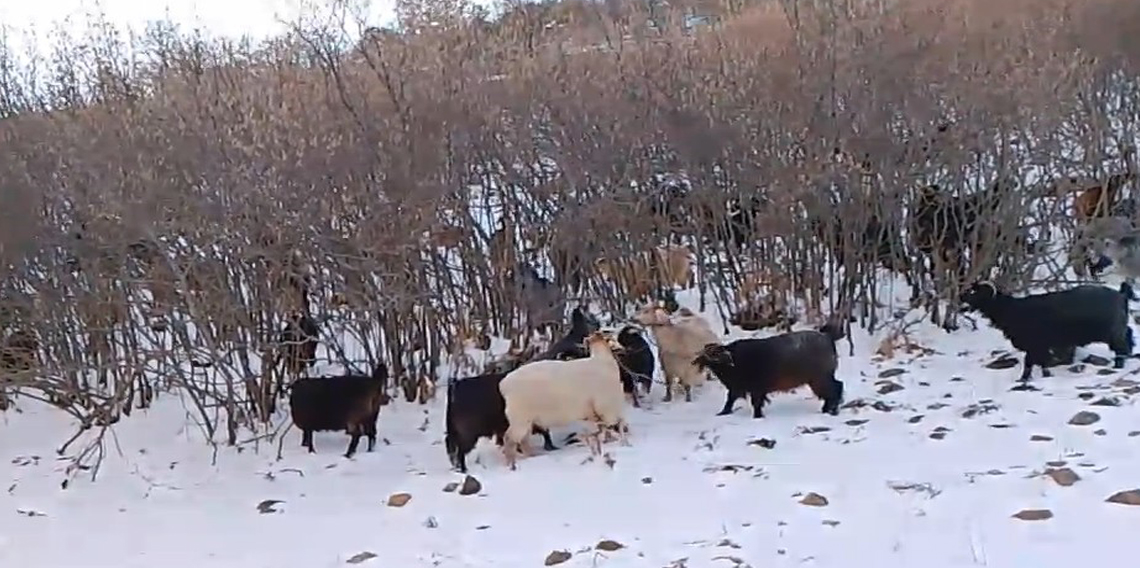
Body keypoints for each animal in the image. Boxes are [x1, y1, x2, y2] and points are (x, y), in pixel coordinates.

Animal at [497, 328, 629, 469]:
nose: (623, 349)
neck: (602, 360)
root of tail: (504, 384)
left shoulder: (594, 413)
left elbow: (603, 428)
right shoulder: (606, 408)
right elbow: (616, 425)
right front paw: (621, 442)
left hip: (526, 419)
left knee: (523, 440)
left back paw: (532, 456)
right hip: (520, 418)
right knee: (509, 439)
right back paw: (511, 464)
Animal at [684, 323, 848, 417]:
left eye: (715, 353)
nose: (696, 361)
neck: (735, 361)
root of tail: (827, 338)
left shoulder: (756, 388)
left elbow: (756, 403)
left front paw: (757, 416)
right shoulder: (738, 388)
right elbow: (730, 400)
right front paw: (723, 412)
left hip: (820, 378)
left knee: (835, 388)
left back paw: (832, 410)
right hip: (818, 379)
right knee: (835, 388)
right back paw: (828, 409)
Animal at [957, 280, 1135, 380]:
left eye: (974, 291)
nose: (961, 296)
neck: (1013, 310)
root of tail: (1121, 294)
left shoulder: (1035, 344)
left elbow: (1029, 362)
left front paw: (1024, 379)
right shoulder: (1041, 346)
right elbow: (1042, 362)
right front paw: (1045, 375)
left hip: (1113, 332)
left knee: (1121, 348)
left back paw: (1117, 367)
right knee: (1129, 337)